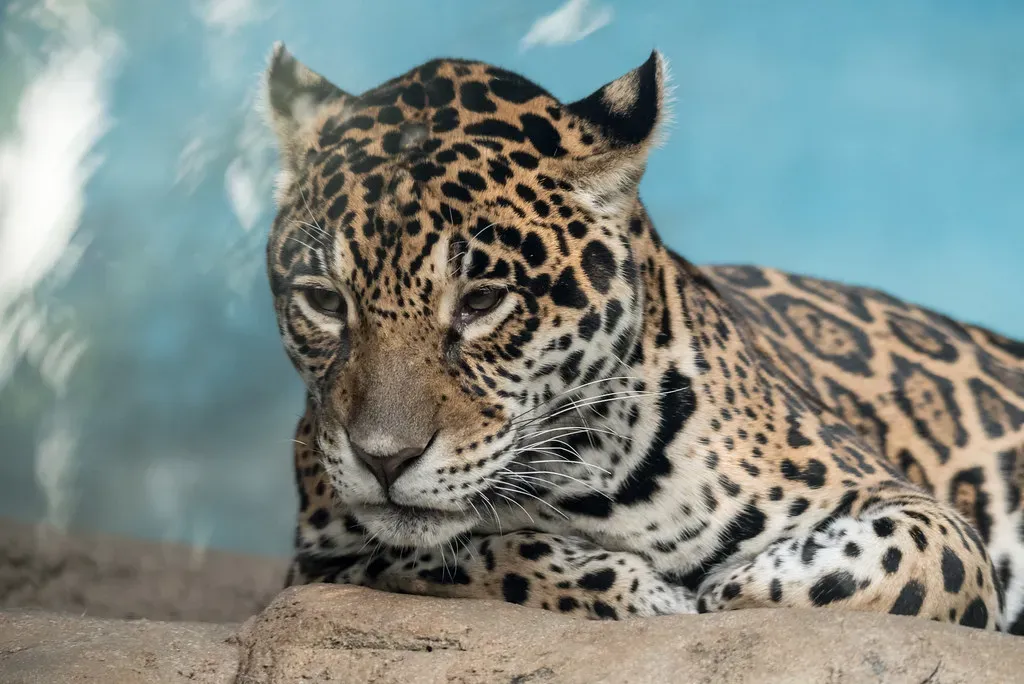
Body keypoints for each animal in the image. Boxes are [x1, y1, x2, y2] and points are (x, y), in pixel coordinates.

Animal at [261, 42, 1024, 632]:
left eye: (482, 300)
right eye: (324, 300)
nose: (383, 460)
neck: (583, 480)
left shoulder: (909, 504)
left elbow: (916, 562)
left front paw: (735, 587)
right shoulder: (320, 557)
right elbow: (470, 557)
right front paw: (654, 593)